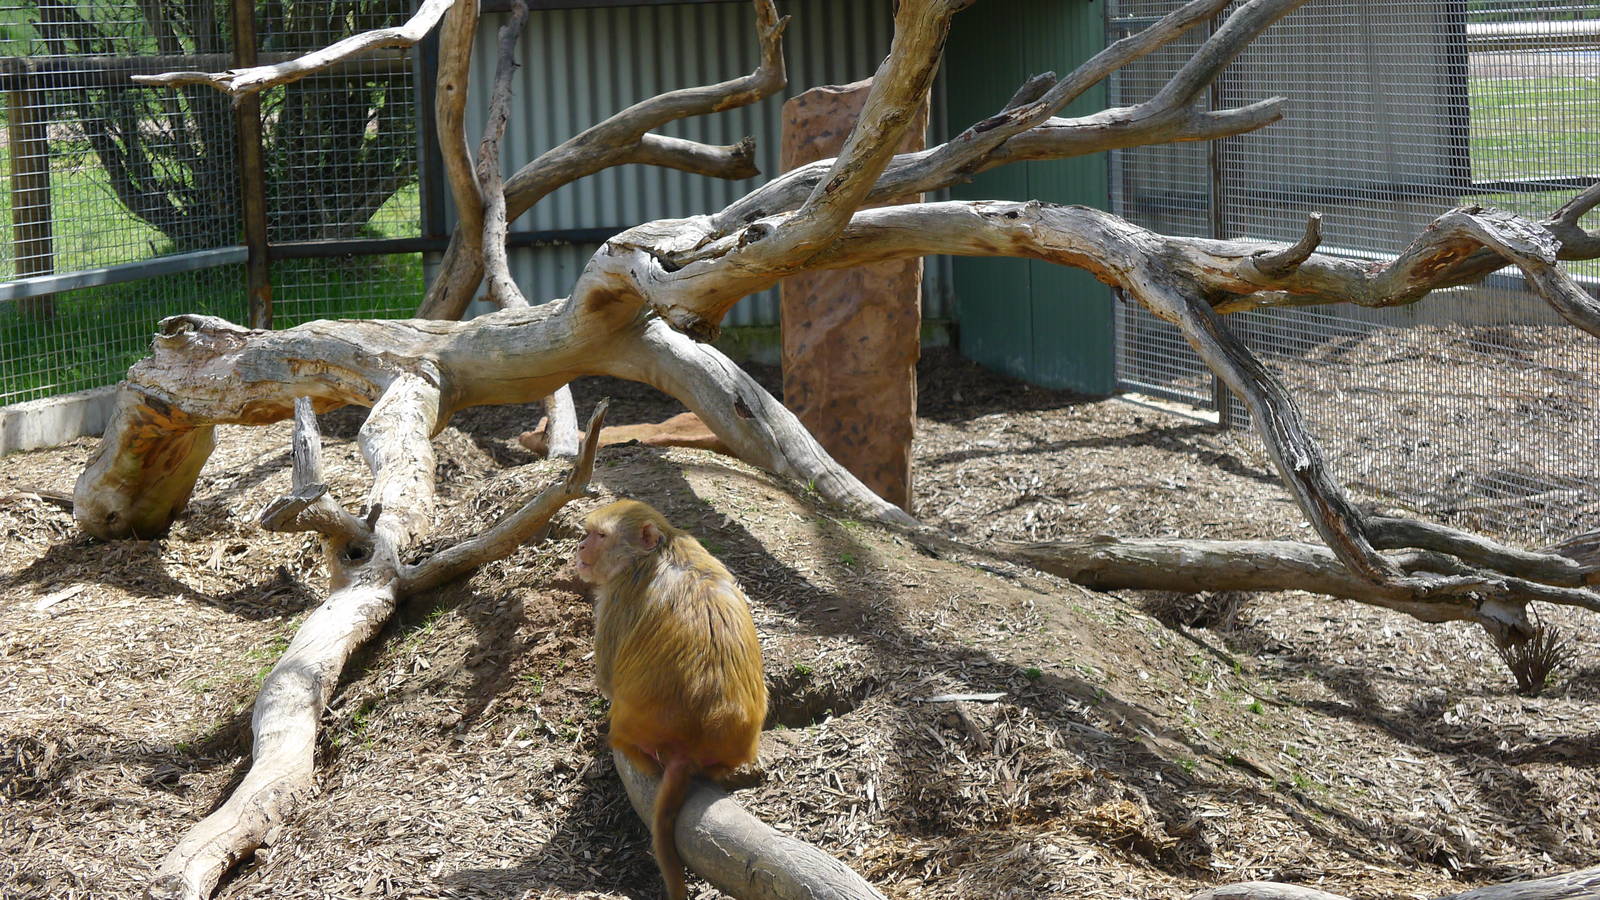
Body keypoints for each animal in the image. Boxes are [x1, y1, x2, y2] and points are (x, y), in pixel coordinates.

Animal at [574, 499, 767, 900]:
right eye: (587, 534)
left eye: (599, 535)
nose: (580, 546)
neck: (658, 551)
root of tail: (690, 745)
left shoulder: (619, 594)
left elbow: (607, 677)